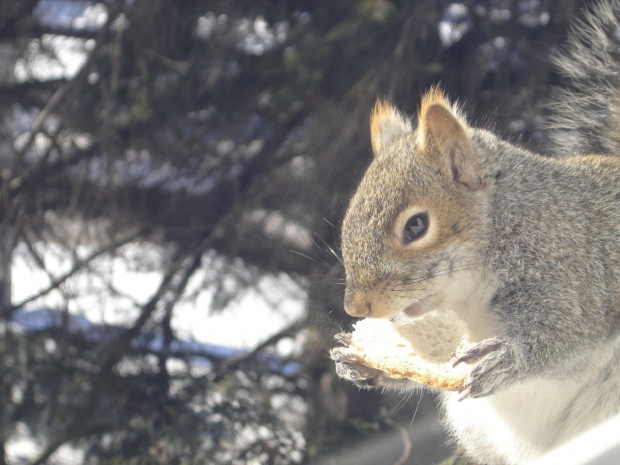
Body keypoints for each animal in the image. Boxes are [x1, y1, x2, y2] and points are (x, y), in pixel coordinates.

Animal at [332, 1, 620, 462]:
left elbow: (566, 332)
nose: (357, 307)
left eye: (416, 226)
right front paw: (357, 360)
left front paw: (508, 358)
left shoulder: (575, 268)